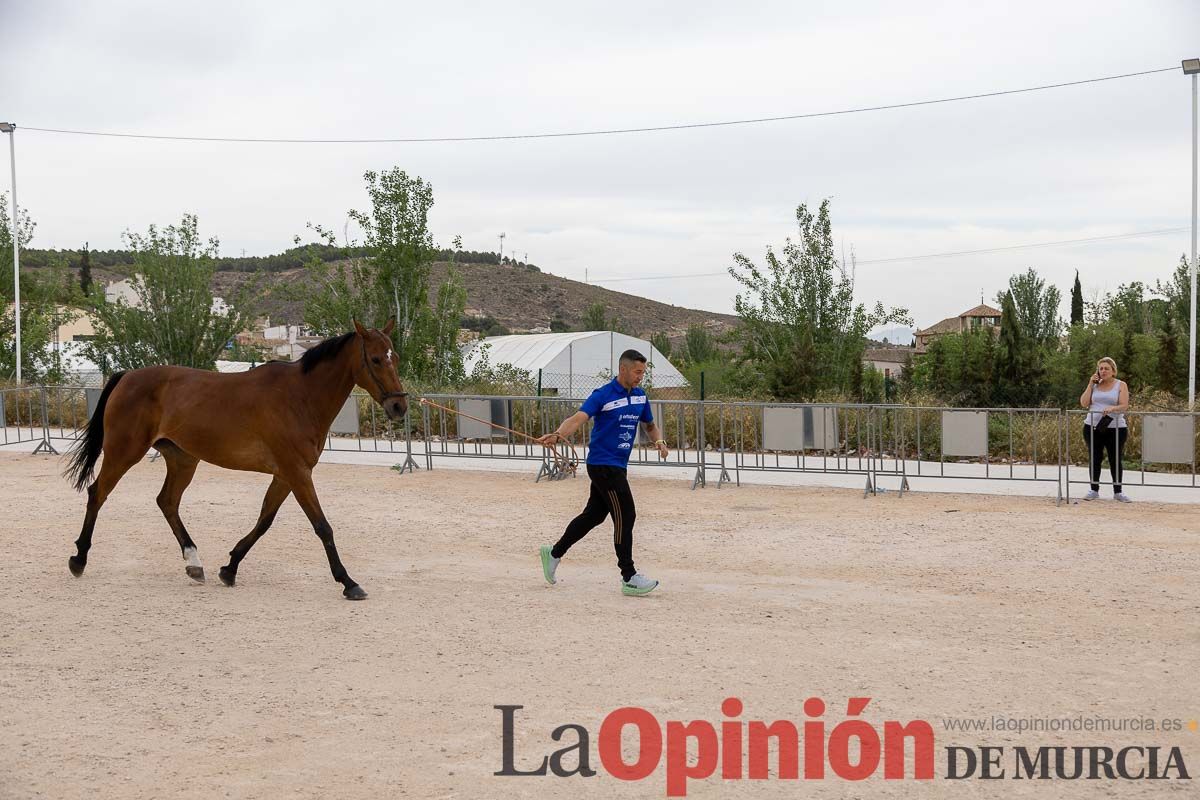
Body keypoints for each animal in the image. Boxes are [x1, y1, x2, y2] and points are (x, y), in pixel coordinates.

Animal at [63, 319, 410, 599]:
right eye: (376, 359)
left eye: (395, 357)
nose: (399, 407)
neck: (300, 397)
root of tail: (127, 377)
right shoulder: (297, 472)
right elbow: (322, 526)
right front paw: (348, 582)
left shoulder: (286, 474)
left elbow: (264, 520)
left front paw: (229, 568)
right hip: (124, 452)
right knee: (98, 493)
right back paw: (79, 559)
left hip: (183, 460)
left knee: (167, 502)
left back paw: (194, 563)